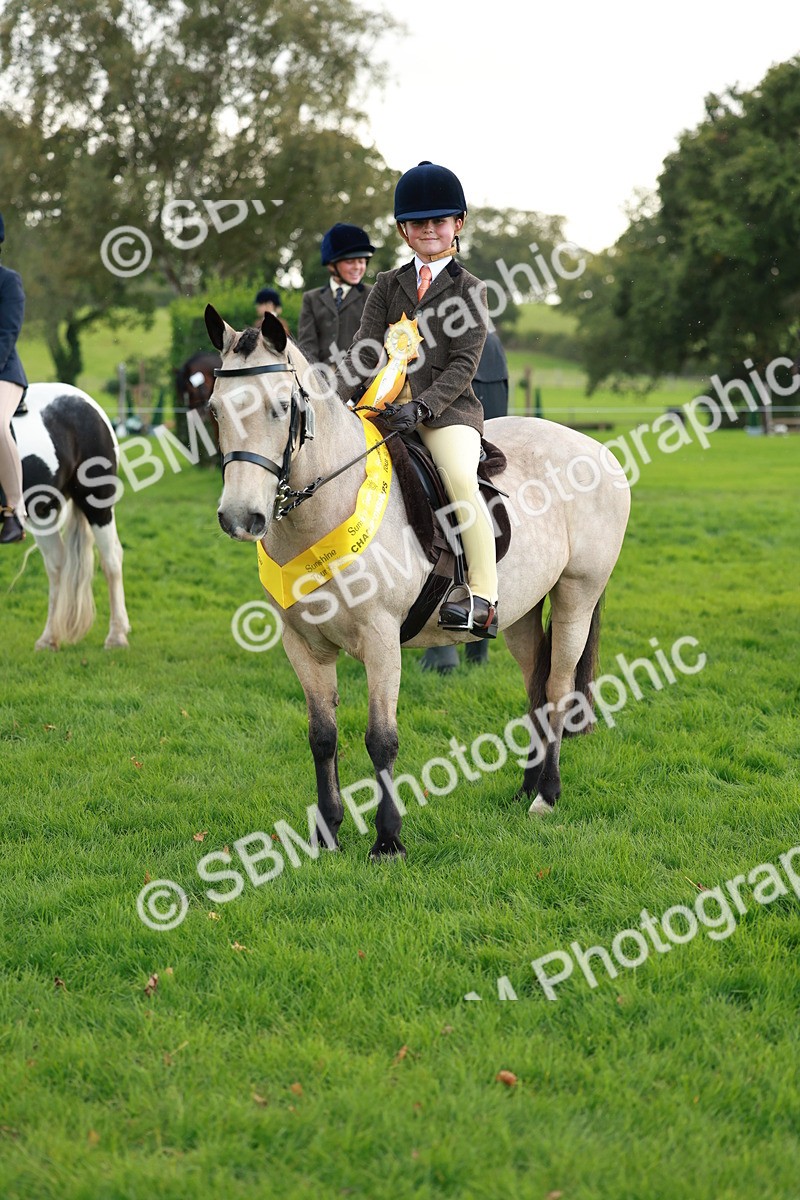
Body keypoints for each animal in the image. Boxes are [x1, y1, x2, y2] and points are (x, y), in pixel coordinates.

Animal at [9, 383, 130, 651]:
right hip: (43, 513)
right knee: (57, 566)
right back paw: (49, 638)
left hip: (98, 503)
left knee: (111, 561)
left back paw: (116, 635)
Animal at [204, 307, 631, 860]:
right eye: (214, 411)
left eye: (281, 407)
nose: (241, 517)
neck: (329, 504)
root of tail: (595, 446)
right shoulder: (303, 644)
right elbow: (322, 736)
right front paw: (327, 832)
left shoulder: (382, 638)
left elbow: (380, 739)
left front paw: (388, 841)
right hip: (518, 612)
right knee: (536, 687)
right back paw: (526, 788)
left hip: (577, 594)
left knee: (558, 688)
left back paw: (547, 797)